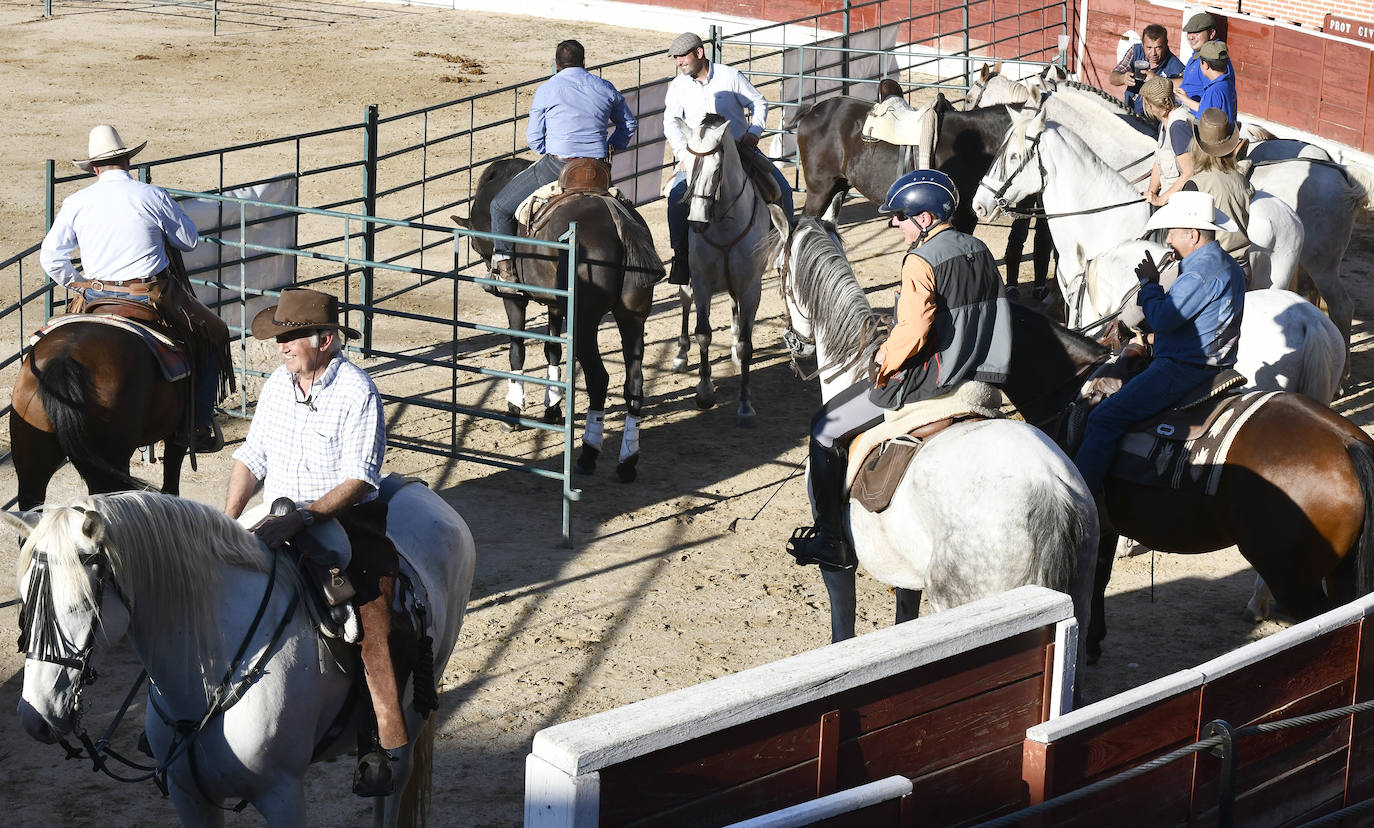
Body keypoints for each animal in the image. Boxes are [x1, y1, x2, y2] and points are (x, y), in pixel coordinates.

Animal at [10, 486, 478, 828]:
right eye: (25, 606)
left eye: (81, 604)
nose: (34, 718)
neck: (204, 681)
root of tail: (426, 495)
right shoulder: (190, 798)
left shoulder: (282, 796)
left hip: (411, 721)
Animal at [453, 158, 662, 483]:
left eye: (475, 245)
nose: (492, 276)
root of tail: (618, 224)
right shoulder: (555, 303)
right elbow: (552, 349)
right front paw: (551, 408)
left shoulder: (516, 300)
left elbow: (517, 350)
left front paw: (513, 412)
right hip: (632, 318)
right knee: (635, 382)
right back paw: (627, 461)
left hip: (586, 322)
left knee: (598, 378)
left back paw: (588, 454)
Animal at [670, 113, 780, 425]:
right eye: (688, 162)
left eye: (717, 168)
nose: (696, 221)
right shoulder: (702, 283)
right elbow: (703, 333)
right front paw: (704, 392)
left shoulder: (751, 287)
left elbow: (745, 344)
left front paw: (744, 403)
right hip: (687, 278)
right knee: (685, 302)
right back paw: (681, 354)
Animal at [1000, 303, 1374, 661]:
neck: (1070, 389)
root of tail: (1347, 442)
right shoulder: (1106, 525)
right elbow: (1101, 576)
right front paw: (1094, 642)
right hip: (1340, 573)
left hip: (1294, 580)